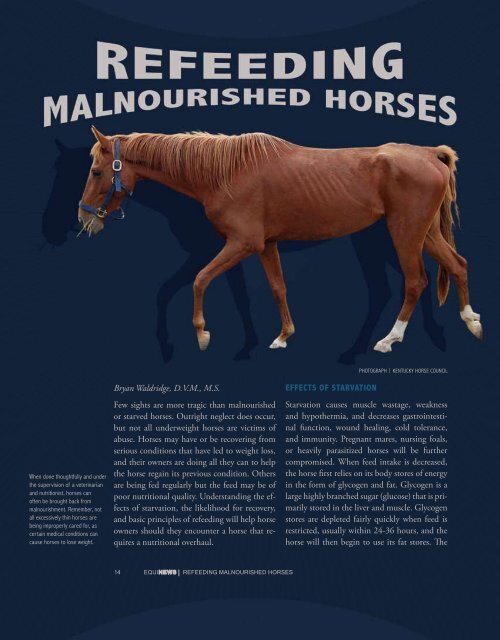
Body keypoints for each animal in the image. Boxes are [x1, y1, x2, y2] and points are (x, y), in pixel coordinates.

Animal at [78, 126, 483, 353]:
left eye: (96, 171)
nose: (84, 218)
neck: (226, 172)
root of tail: (429, 154)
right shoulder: (266, 245)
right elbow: (278, 288)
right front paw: (284, 336)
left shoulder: (242, 244)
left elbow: (200, 279)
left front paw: (202, 333)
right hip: (425, 232)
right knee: (459, 265)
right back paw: (471, 321)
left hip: (405, 231)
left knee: (416, 282)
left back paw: (389, 339)